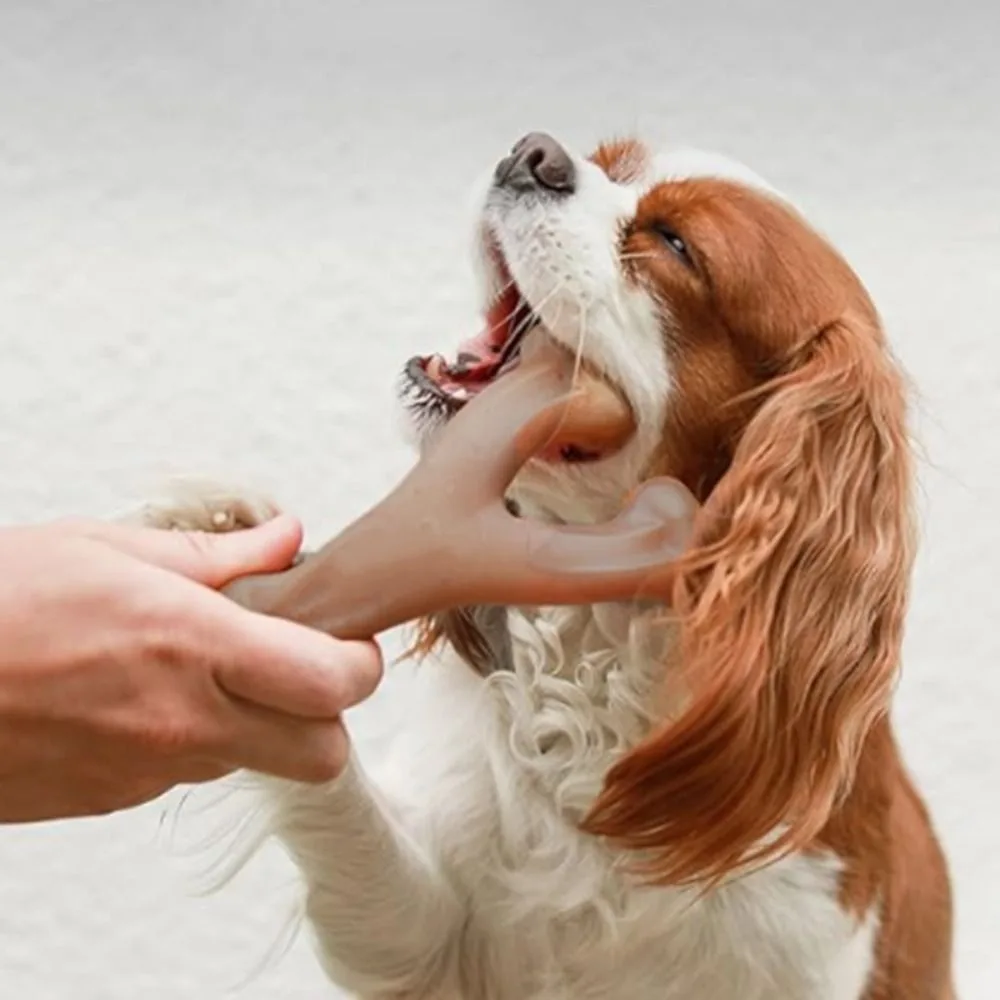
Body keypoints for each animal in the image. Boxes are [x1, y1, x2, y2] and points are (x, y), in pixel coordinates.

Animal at [143, 133, 952, 1000]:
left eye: (675, 245)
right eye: (607, 160)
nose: (534, 154)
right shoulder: (421, 939)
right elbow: (349, 816)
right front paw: (218, 527)